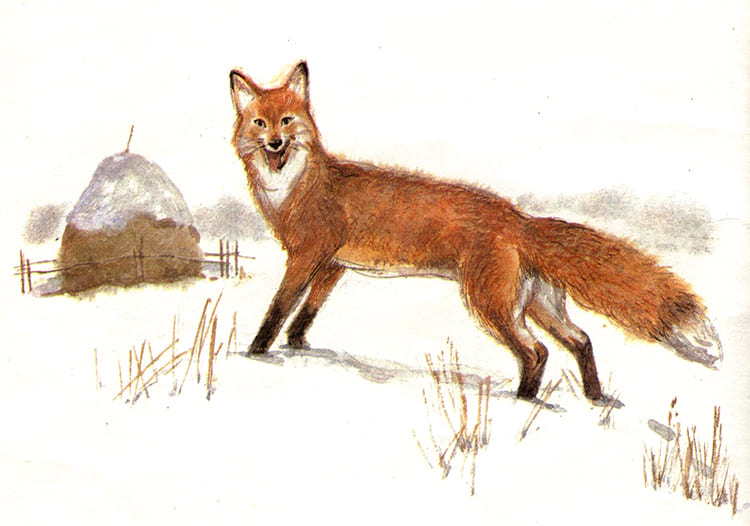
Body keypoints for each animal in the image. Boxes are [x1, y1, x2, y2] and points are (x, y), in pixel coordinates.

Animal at [229, 61, 722, 401]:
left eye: (287, 121)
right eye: (259, 123)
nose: (274, 143)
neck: (295, 190)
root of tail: (520, 219)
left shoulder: (308, 256)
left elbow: (277, 310)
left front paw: (255, 354)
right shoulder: (333, 264)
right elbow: (306, 313)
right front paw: (299, 349)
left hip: (491, 307)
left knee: (535, 352)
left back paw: (522, 403)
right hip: (537, 306)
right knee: (579, 341)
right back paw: (595, 398)